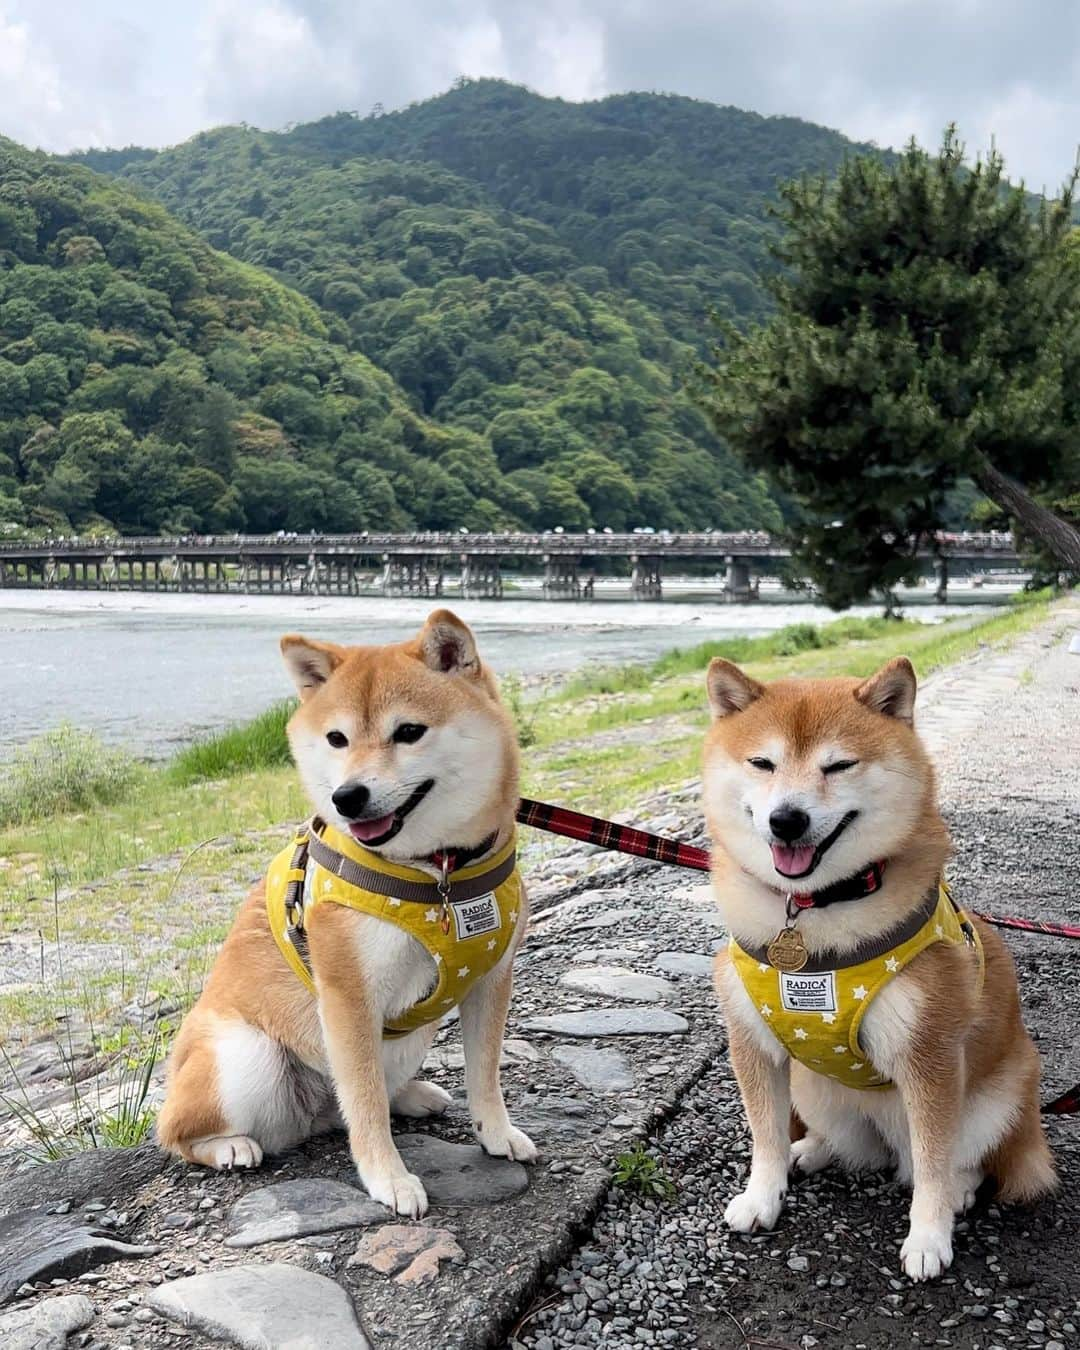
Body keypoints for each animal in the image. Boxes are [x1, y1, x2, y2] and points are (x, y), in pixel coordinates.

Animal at [155, 610, 534, 1215]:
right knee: (177, 1132)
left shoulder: (490, 978)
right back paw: (230, 1146)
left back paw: (412, 1095)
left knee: (350, 1103)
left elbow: (485, 1072)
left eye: (409, 732)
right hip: (247, 1055)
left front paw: (495, 1134)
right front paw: (388, 1179)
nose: (347, 797)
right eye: (337, 739)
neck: (438, 871)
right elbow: (365, 1101)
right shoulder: (348, 996)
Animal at [702, 658, 1053, 1279]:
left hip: (1002, 1094)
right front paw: (763, 1195)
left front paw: (929, 1237)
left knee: (957, 1159)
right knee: (845, 1144)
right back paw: (809, 1151)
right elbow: (764, 1135)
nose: (786, 819)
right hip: (817, 1090)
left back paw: (960, 1189)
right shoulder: (753, 1042)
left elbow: (933, 1163)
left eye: (838, 765)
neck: (816, 910)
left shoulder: (930, 1057)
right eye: (762, 763)